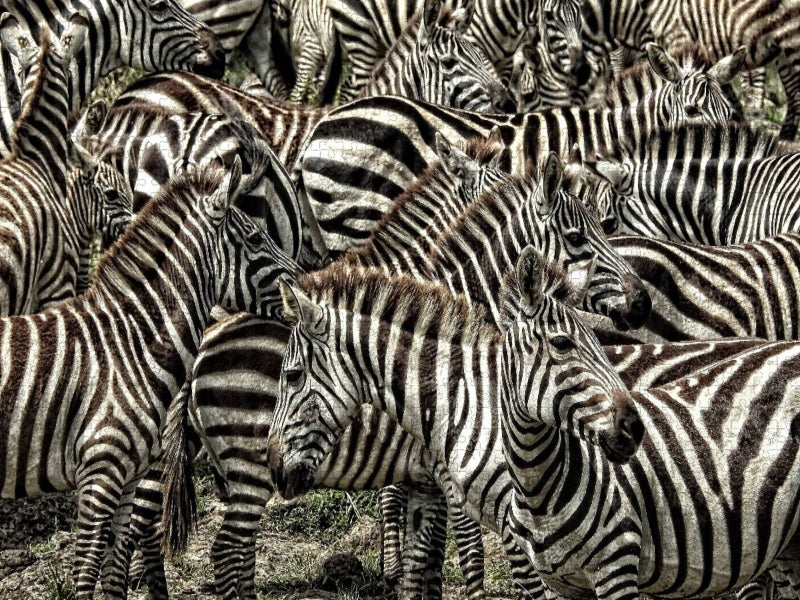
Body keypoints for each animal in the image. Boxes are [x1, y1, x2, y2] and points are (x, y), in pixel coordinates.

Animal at [0, 154, 299, 598]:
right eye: (257, 239)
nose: (302, 288)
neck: (131, 346)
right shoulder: (100, 471)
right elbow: (87, 570)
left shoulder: (126, 480)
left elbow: (114, 572)